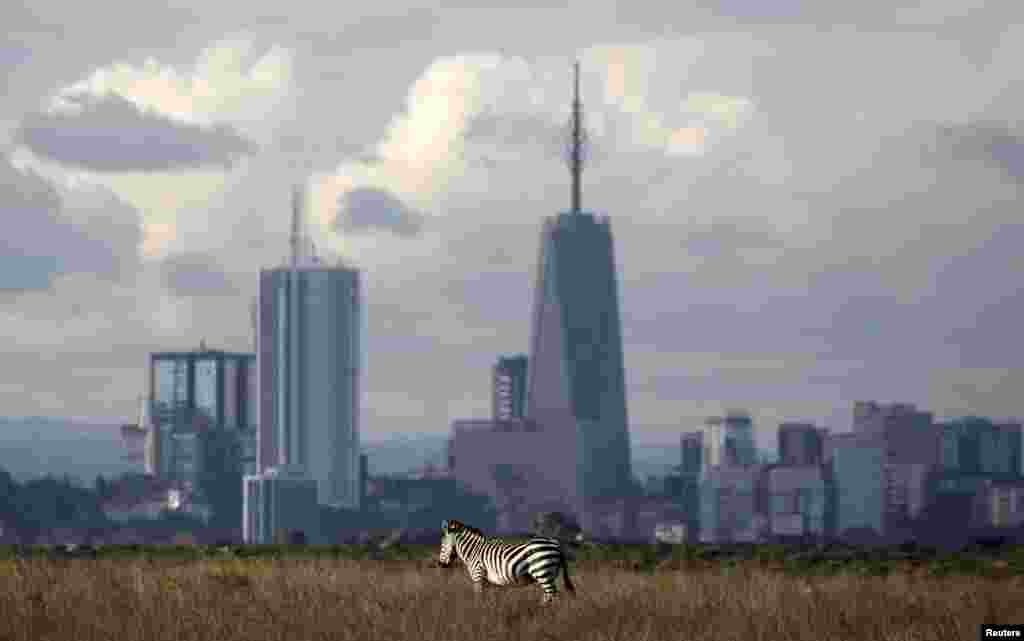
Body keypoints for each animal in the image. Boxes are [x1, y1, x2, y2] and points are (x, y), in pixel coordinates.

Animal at [436, 516, 573, 602]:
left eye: (442, 543)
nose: (440, 564)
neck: (473, 550)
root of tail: (556, 544)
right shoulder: (489, 582)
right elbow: (490, 600)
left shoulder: (478, 575)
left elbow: (478, 598)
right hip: (549, 574)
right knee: (549, 596)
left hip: (542, 572)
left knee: (551, 595)